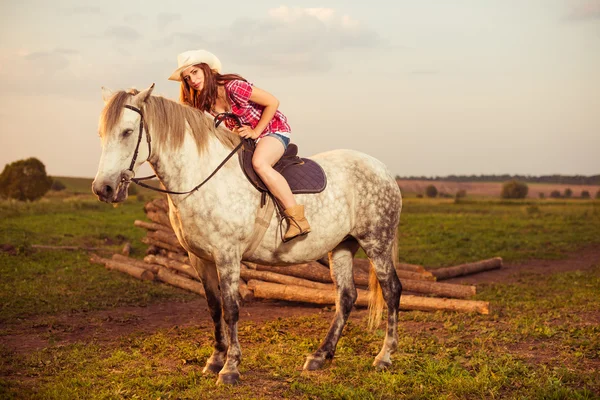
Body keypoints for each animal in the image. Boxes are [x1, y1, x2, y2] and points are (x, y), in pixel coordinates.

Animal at [92, 84, 404, 384]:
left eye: (127, 131)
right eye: (101, 133)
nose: (103, 188)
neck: (202, 177)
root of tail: (383, 169)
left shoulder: (228, 255)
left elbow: (231, 308)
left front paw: (230, 368)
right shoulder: (199, 258)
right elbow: (214, 307)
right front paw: (214, 360)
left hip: (376, 242)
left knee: (391, 290)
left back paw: (384, 356)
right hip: (341, 246)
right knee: (346, 296)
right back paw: (320, 356)